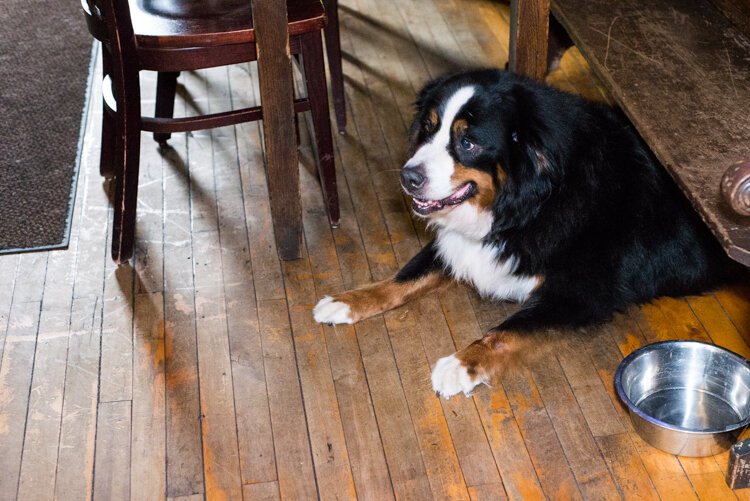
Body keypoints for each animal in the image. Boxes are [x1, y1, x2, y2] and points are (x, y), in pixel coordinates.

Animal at [312, 69, 748, 398]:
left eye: (468, 142)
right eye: (429, 129)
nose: (408, 177)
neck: (528, 204)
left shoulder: (578, 292)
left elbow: (507, 331)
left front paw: (460, 364)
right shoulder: (459, 246)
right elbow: (402, 278)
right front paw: (346, 301)